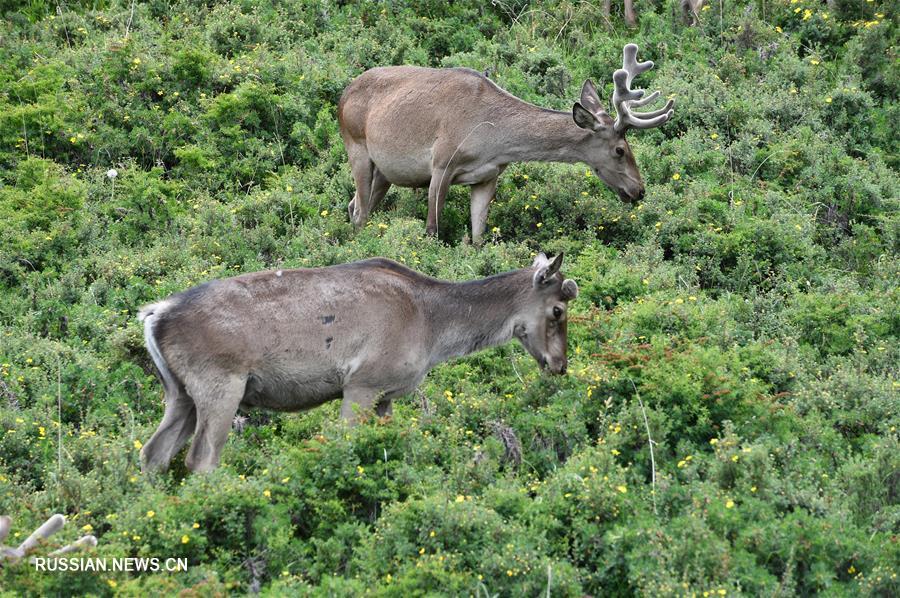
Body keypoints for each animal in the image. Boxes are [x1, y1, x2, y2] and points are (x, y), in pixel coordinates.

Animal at [342, 42, 672, 245]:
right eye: (620, 150)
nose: (639, 190)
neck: (491, 139)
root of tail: (343, 95)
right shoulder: (441, 164)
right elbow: (432, 230)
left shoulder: (488, 176)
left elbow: (478, 237)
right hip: (356, 146)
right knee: (360, 212)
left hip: (385, 171)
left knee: (356, 205)